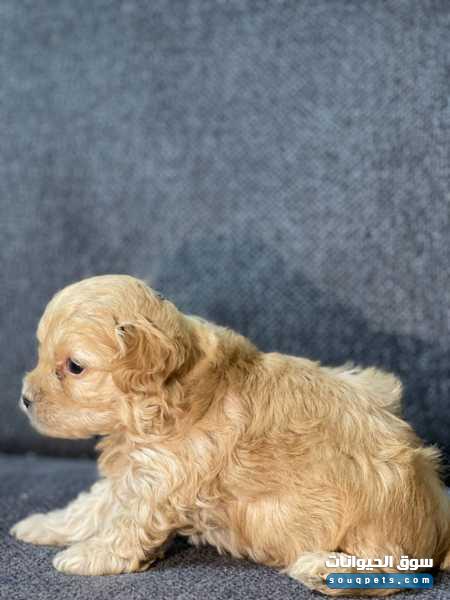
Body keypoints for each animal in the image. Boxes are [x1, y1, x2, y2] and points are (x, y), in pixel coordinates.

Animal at [10, 275, 450, 596]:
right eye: (42, 353)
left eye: (74, 367)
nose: (25, 399)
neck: (169, 393)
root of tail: (438, 517)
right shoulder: (138, 469)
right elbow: (92, 505)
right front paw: (46, 525)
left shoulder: (162, 479)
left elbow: (126, 524)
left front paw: (89, 555)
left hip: (376, 523)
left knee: (393, 569)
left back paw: (322, 569)